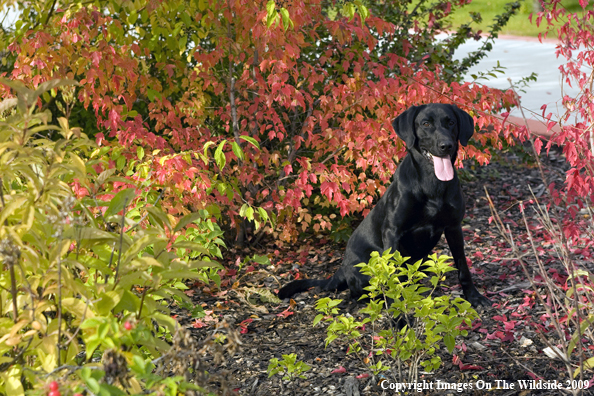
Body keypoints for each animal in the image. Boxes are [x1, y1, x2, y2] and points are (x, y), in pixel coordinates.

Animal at [278, 103, 490, 308]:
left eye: (451, 122)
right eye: (426, 124)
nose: (446, 145)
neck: (432, 183)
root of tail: (341, 269)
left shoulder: (454, 227)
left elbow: (463, 266)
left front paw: (473, 297)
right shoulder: (392, 231)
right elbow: (393, 273)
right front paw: (399, 310)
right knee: (362, 292)